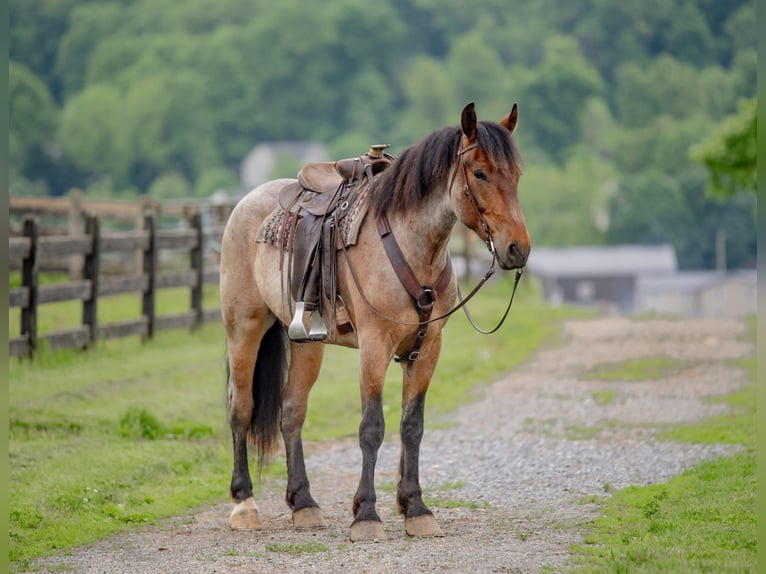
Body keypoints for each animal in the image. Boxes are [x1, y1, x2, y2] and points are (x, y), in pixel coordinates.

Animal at [219, 101, 532, 544]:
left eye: (516, 175)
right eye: (481, 173)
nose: (517, 249)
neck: (409, 245)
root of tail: (244, 204)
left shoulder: (427, 348)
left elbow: (412, 425)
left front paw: (415, 509)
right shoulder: (374, 346)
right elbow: (372, 427)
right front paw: (366, 515)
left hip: (307, 343)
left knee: (291, 411)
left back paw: (304, 504)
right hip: (243, 327)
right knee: (241, 409)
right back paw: (244, 504)